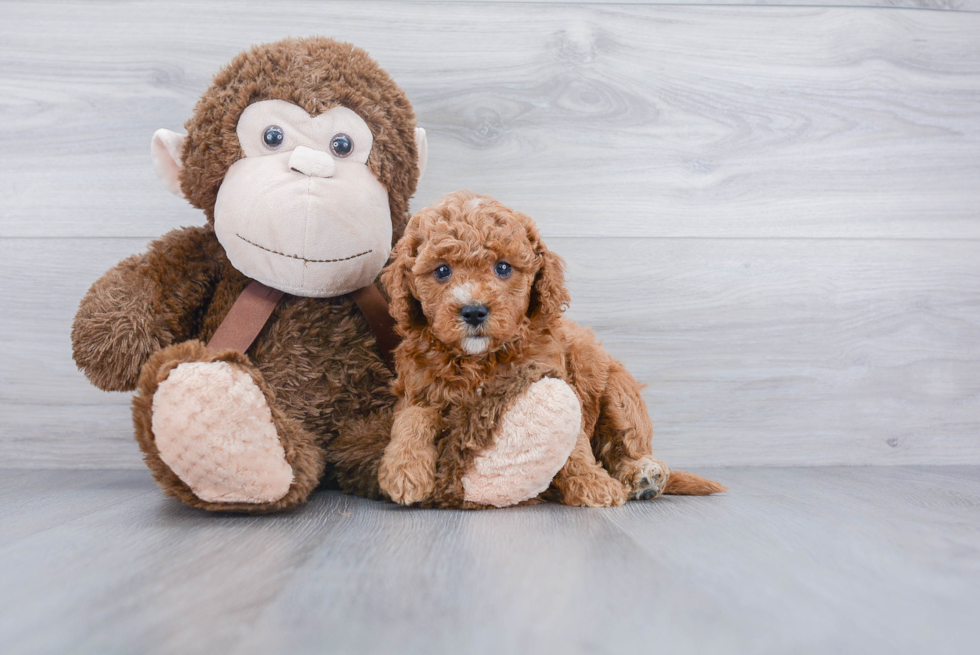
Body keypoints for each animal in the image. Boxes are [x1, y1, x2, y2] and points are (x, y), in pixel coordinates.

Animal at [378, 190, 724, 508]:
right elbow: (411, 419)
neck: (479, 359)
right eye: (441, 271)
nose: (474, 311)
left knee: (624, 447)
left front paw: (592, 482)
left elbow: (574, 441)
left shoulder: (552, 377)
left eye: (503, 268)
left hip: (618, 391)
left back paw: (642, 475)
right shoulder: (418, 387)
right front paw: (404, 469)